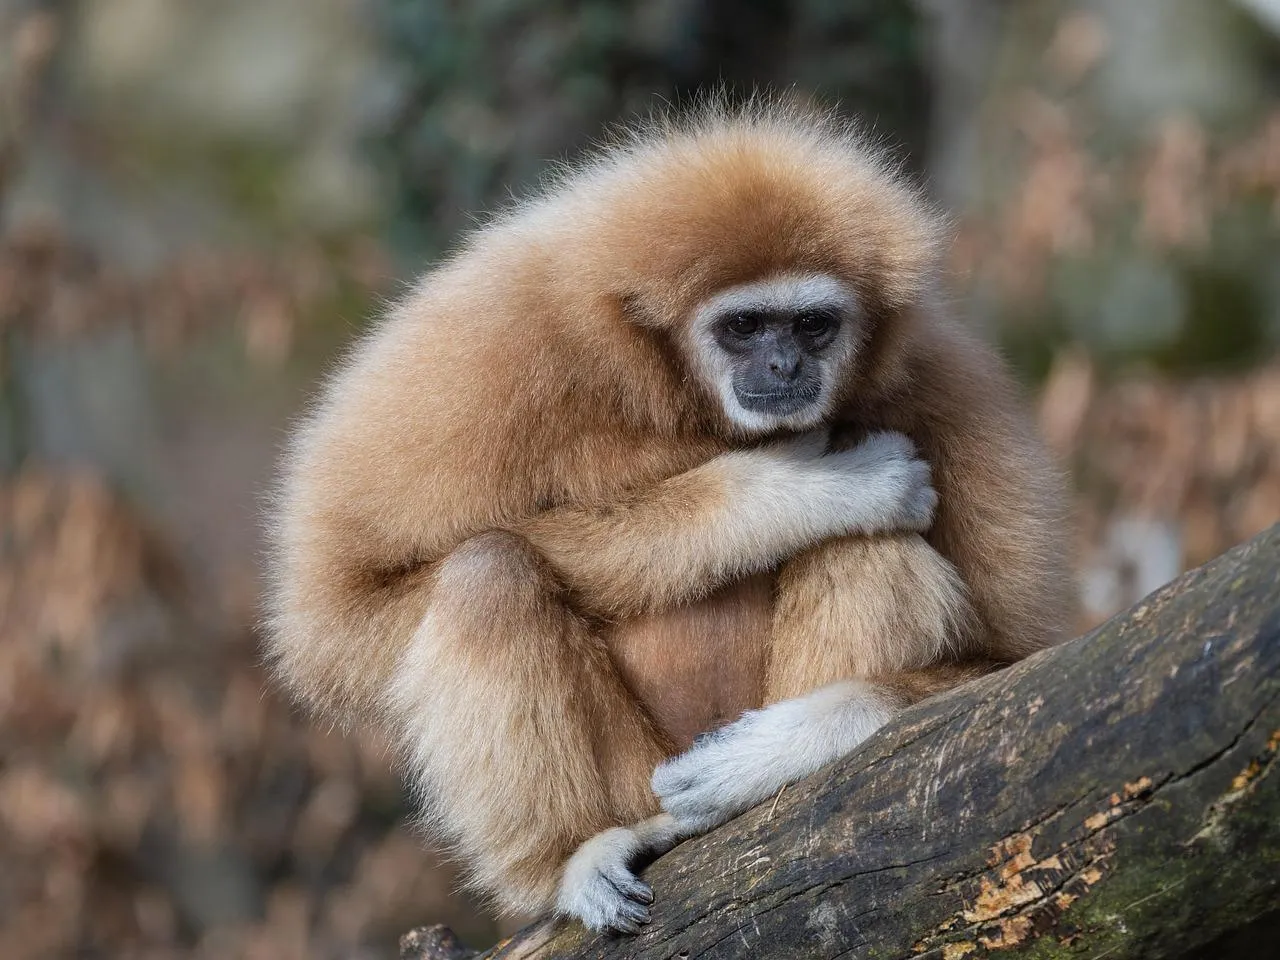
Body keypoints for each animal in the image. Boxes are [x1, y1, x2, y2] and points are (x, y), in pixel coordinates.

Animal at [264, 100, 1071, 934]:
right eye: (743, 327)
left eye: (813, 325)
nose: (785, 365)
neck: (678, 394)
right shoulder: (486, 345)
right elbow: (336, 617)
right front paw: (798, 489)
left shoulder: (946, 387)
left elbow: (1009, 662)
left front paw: (780, 748)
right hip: (640, 779)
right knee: (487, 570)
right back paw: (573, 859)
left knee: (867, 547)